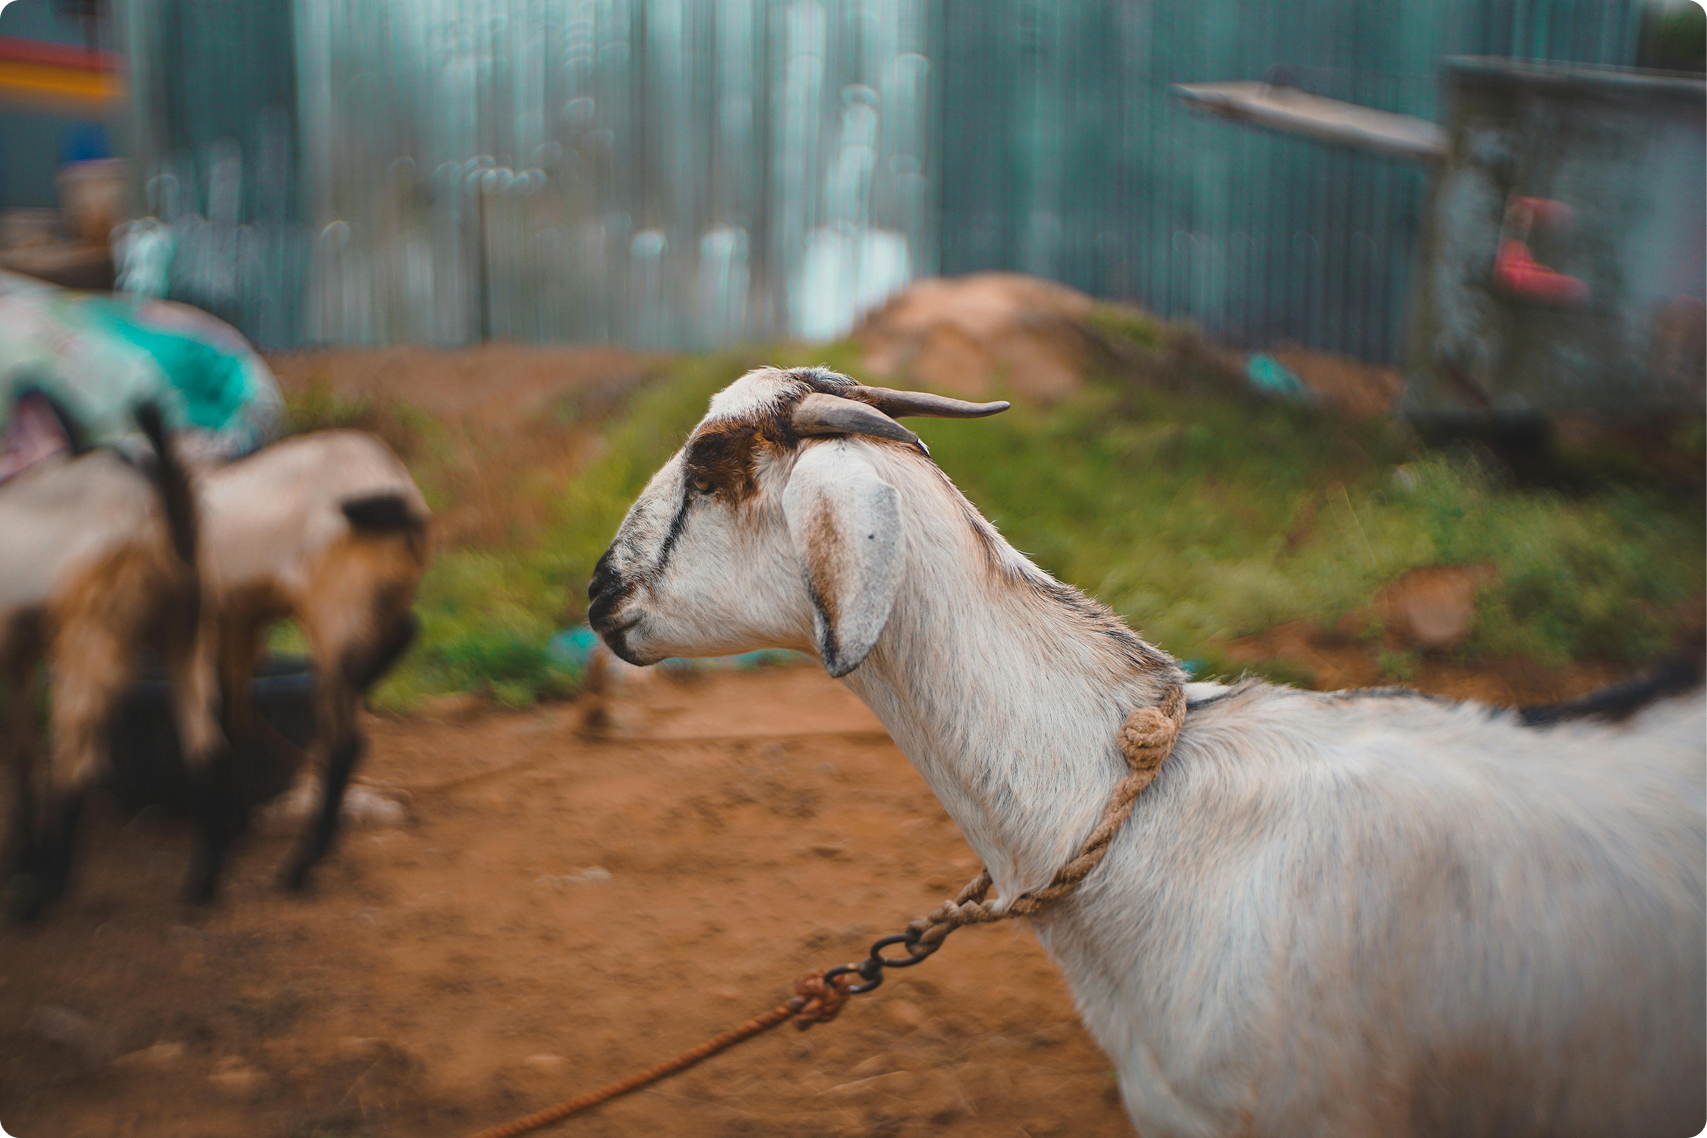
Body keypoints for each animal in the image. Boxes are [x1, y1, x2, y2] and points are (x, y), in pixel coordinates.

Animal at [0, 399, 235, 919]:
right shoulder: (17, 654)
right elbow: (22, 751)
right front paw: (18, 853)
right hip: (189, 633)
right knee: (206, 748)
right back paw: (203, 883)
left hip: (91, 635)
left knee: (78, 765)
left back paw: (43, 892)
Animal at [187, 429, 430, 893]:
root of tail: (400, 492)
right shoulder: (240, 619)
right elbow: (235, 721)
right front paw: (231, 826)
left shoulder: (204, 625)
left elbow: (209, 739)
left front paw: (208, 868)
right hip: (381, 597)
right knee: (404, 632)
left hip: (332, 608)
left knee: (345, 740)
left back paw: (301, 867)